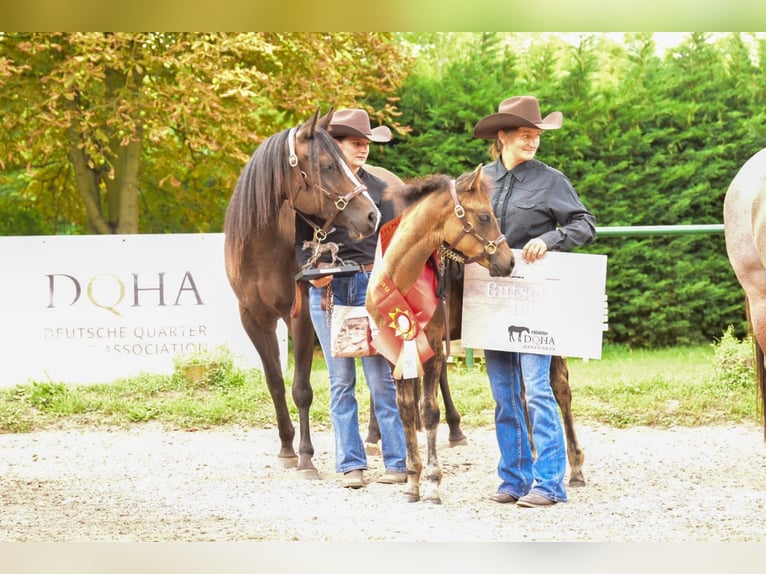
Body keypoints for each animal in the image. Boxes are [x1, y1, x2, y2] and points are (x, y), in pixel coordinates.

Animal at [223, 108, 382, 478]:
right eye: (327, 165)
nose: (372, 215)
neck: (262, 248)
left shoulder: (301, 320)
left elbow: (302, 389)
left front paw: (307, 456)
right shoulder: (254, 320)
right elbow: (275, 383)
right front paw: (286, 448)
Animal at [366, 165, 515, 503]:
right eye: (484, 216)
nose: (509, 260)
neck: (399, 279)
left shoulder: (431, 345)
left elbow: (429, 411)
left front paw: (432, 482)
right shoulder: (396, 351)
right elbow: (406, 410)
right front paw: (412, 480)